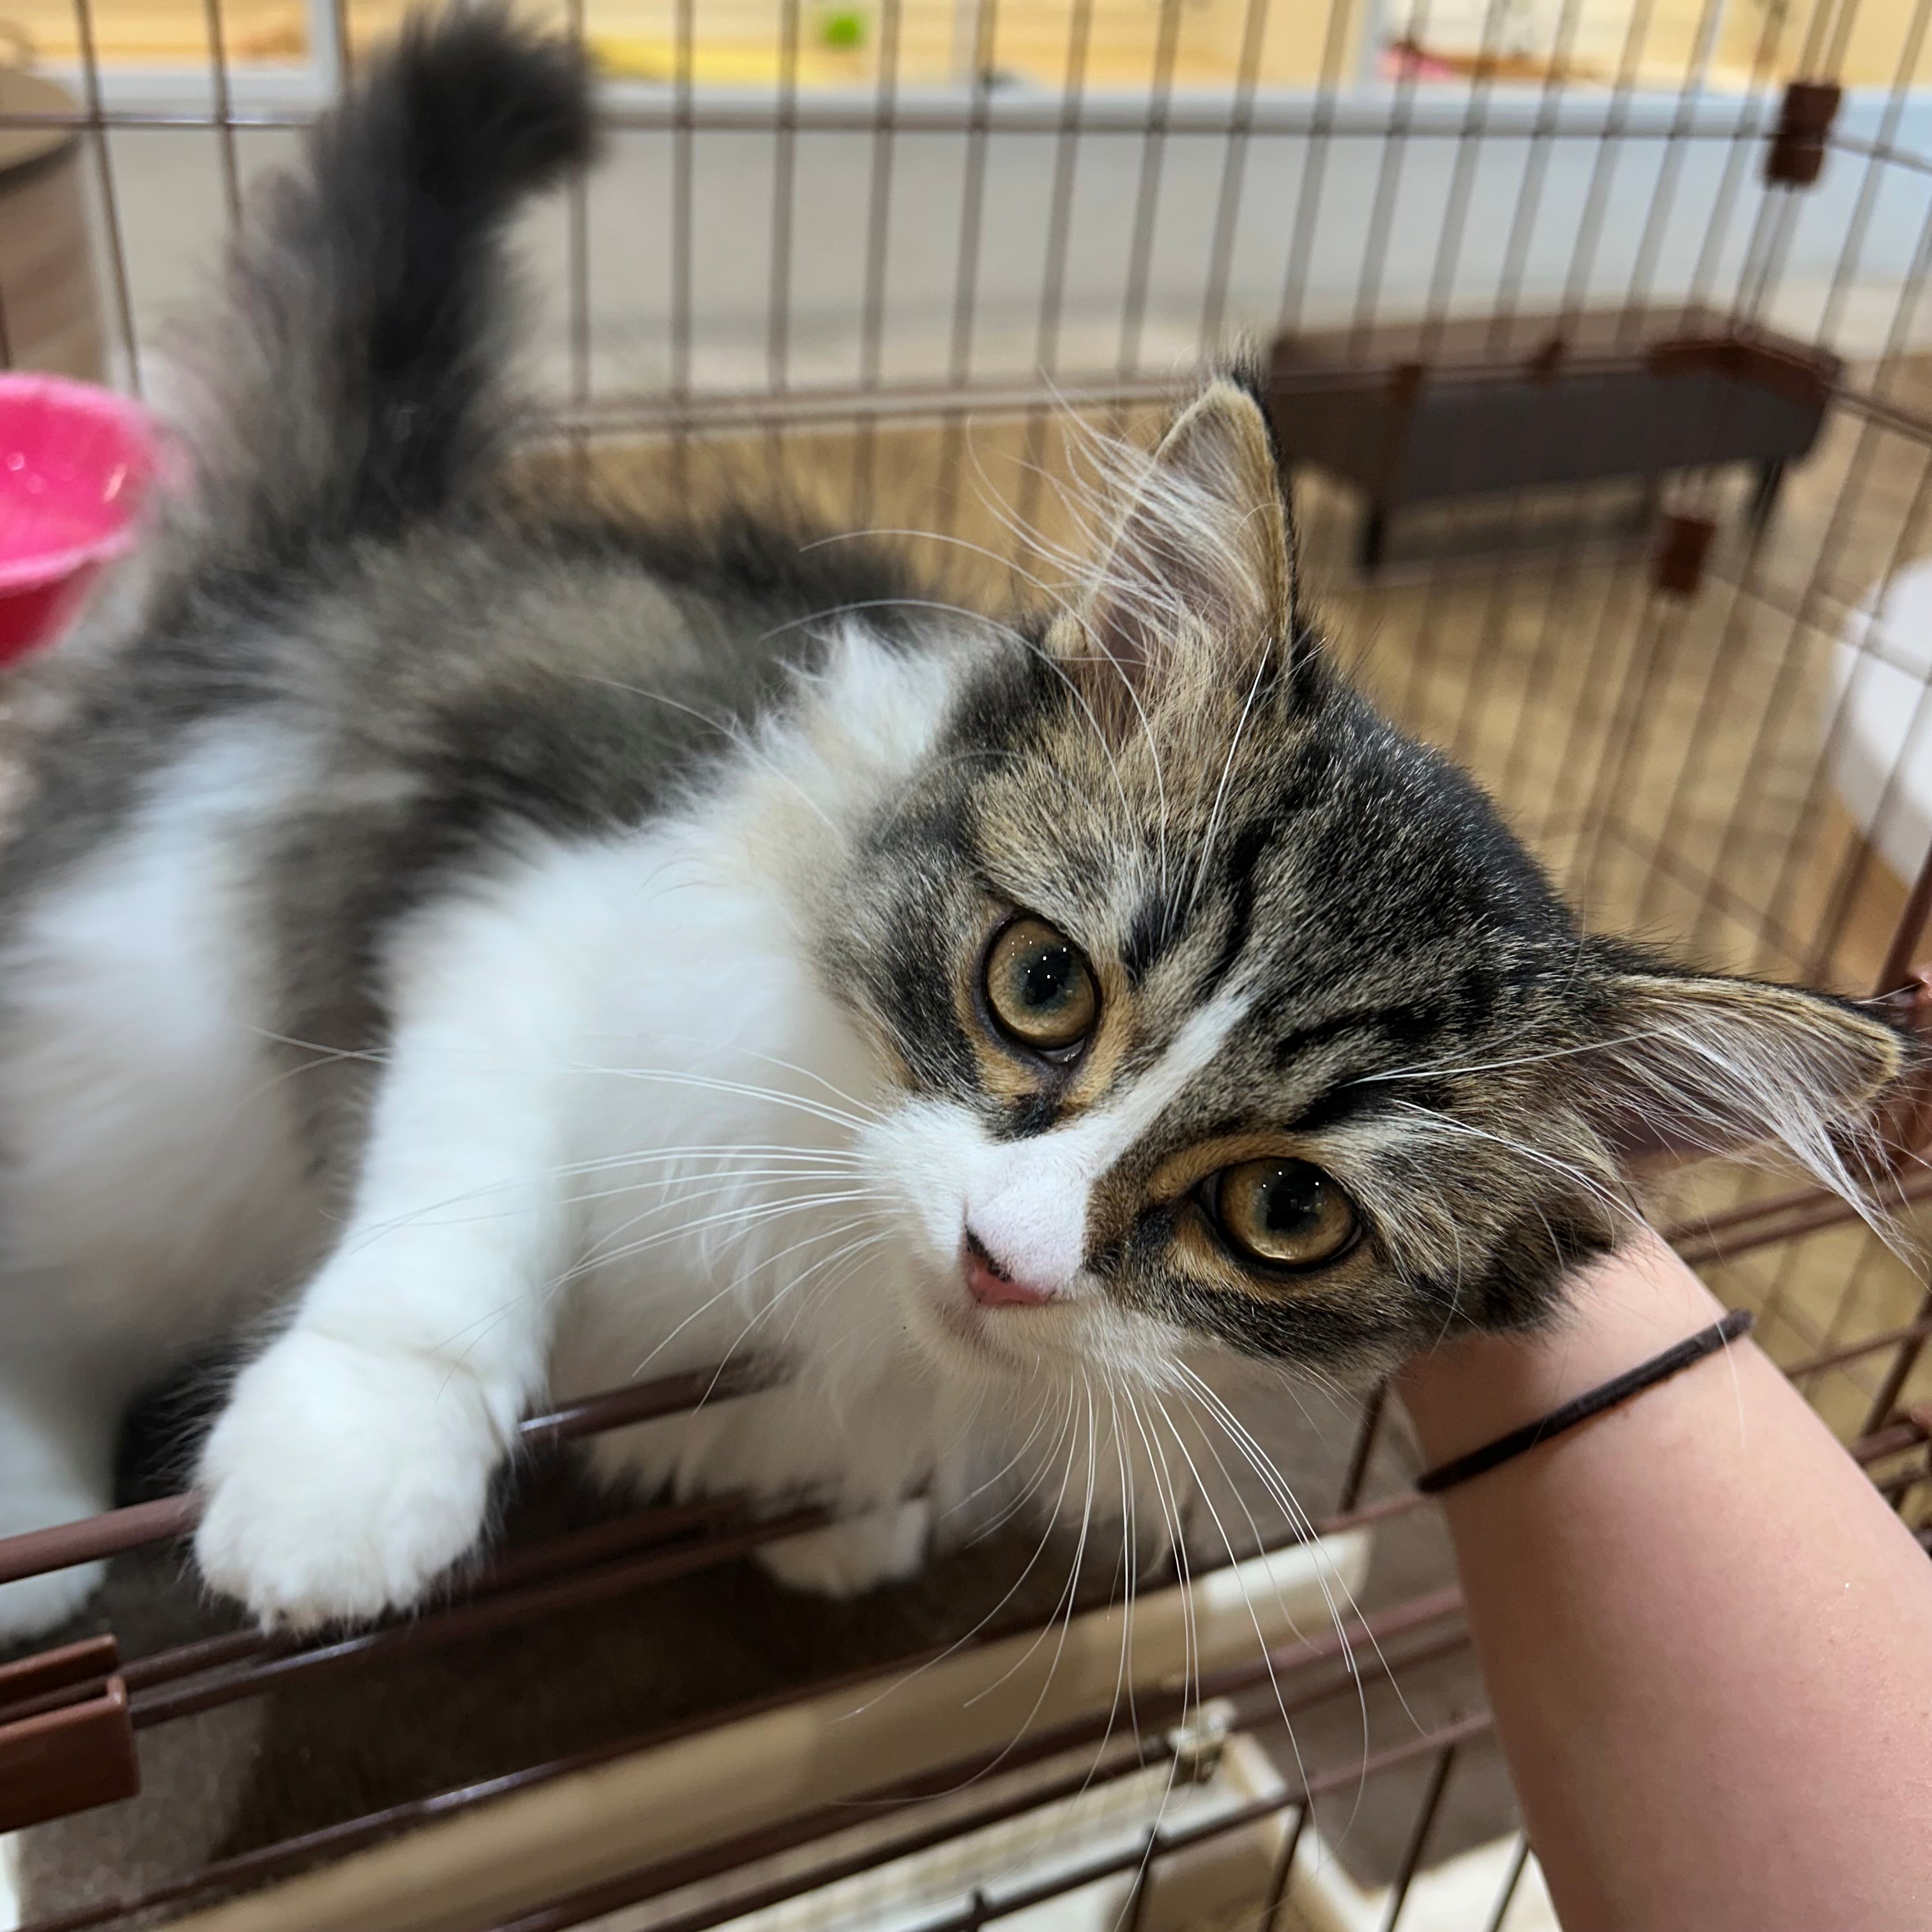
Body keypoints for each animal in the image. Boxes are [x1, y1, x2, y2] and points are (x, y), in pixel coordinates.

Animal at [0, 9, 1908, 1642]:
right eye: (1041, 985)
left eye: (1286, 1213)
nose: (1008, 1265)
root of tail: (342, 549)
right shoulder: (542, 900)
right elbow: (464, 1191)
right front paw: (349, 1468)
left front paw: (850, 1518)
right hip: (162, 1061)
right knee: (64, 1277)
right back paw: (36, 1530)